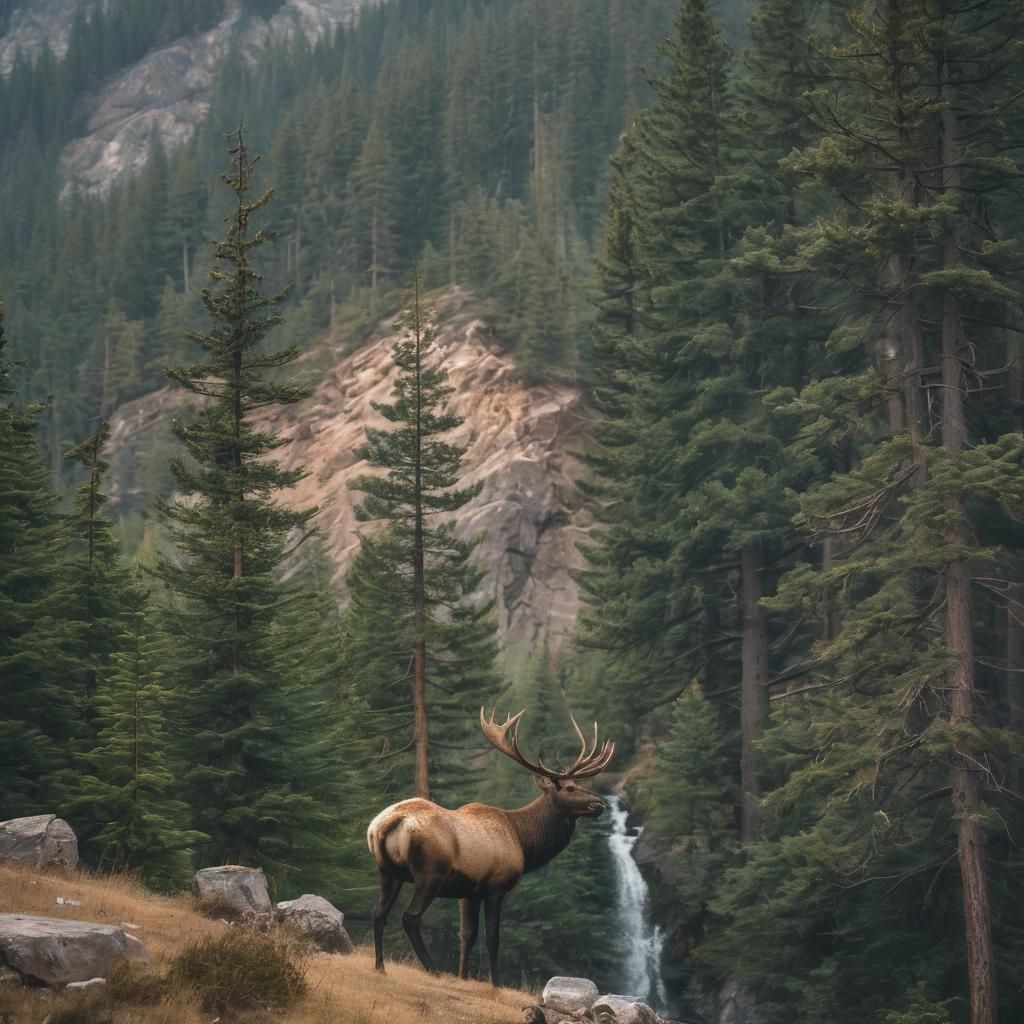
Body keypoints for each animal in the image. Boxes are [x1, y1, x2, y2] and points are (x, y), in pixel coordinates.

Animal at [367, 707, 615, 986]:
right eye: (570, 788)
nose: (600, 804)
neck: (523, 840)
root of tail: (385, 824)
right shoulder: (496, 886)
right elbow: (493, 938)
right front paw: (496, 983)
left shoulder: (469, 892)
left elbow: (467, 935)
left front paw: (463, 977)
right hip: (430, 873)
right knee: (410, 917)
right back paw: (433, 969)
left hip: (388, 871)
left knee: (378, 912)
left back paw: (380, 966)